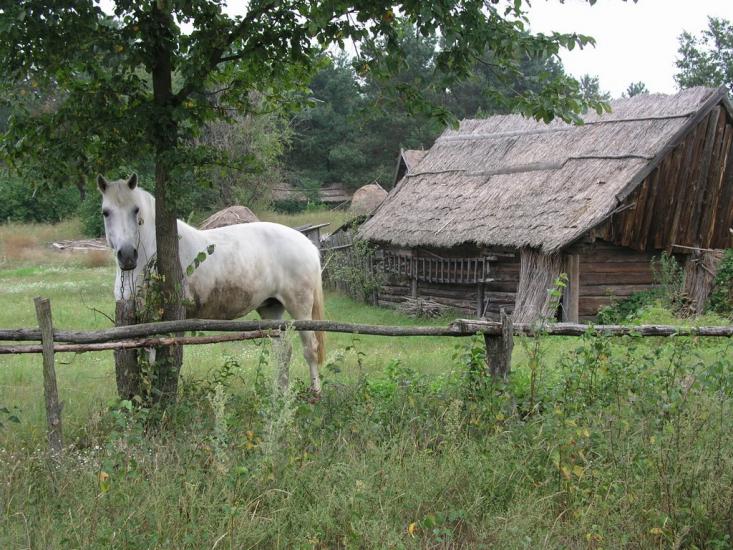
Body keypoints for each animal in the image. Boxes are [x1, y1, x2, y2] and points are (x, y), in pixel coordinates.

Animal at [97, 175, 326, 394]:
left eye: (135, 210)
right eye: (105, 212)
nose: (127, 255)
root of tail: (307, 243)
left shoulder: (157, 319)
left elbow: (154, 363)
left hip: (300, 309)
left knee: (310, 349)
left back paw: (314, 393)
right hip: (271, 309)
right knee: (283, 352)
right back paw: (280, 395)